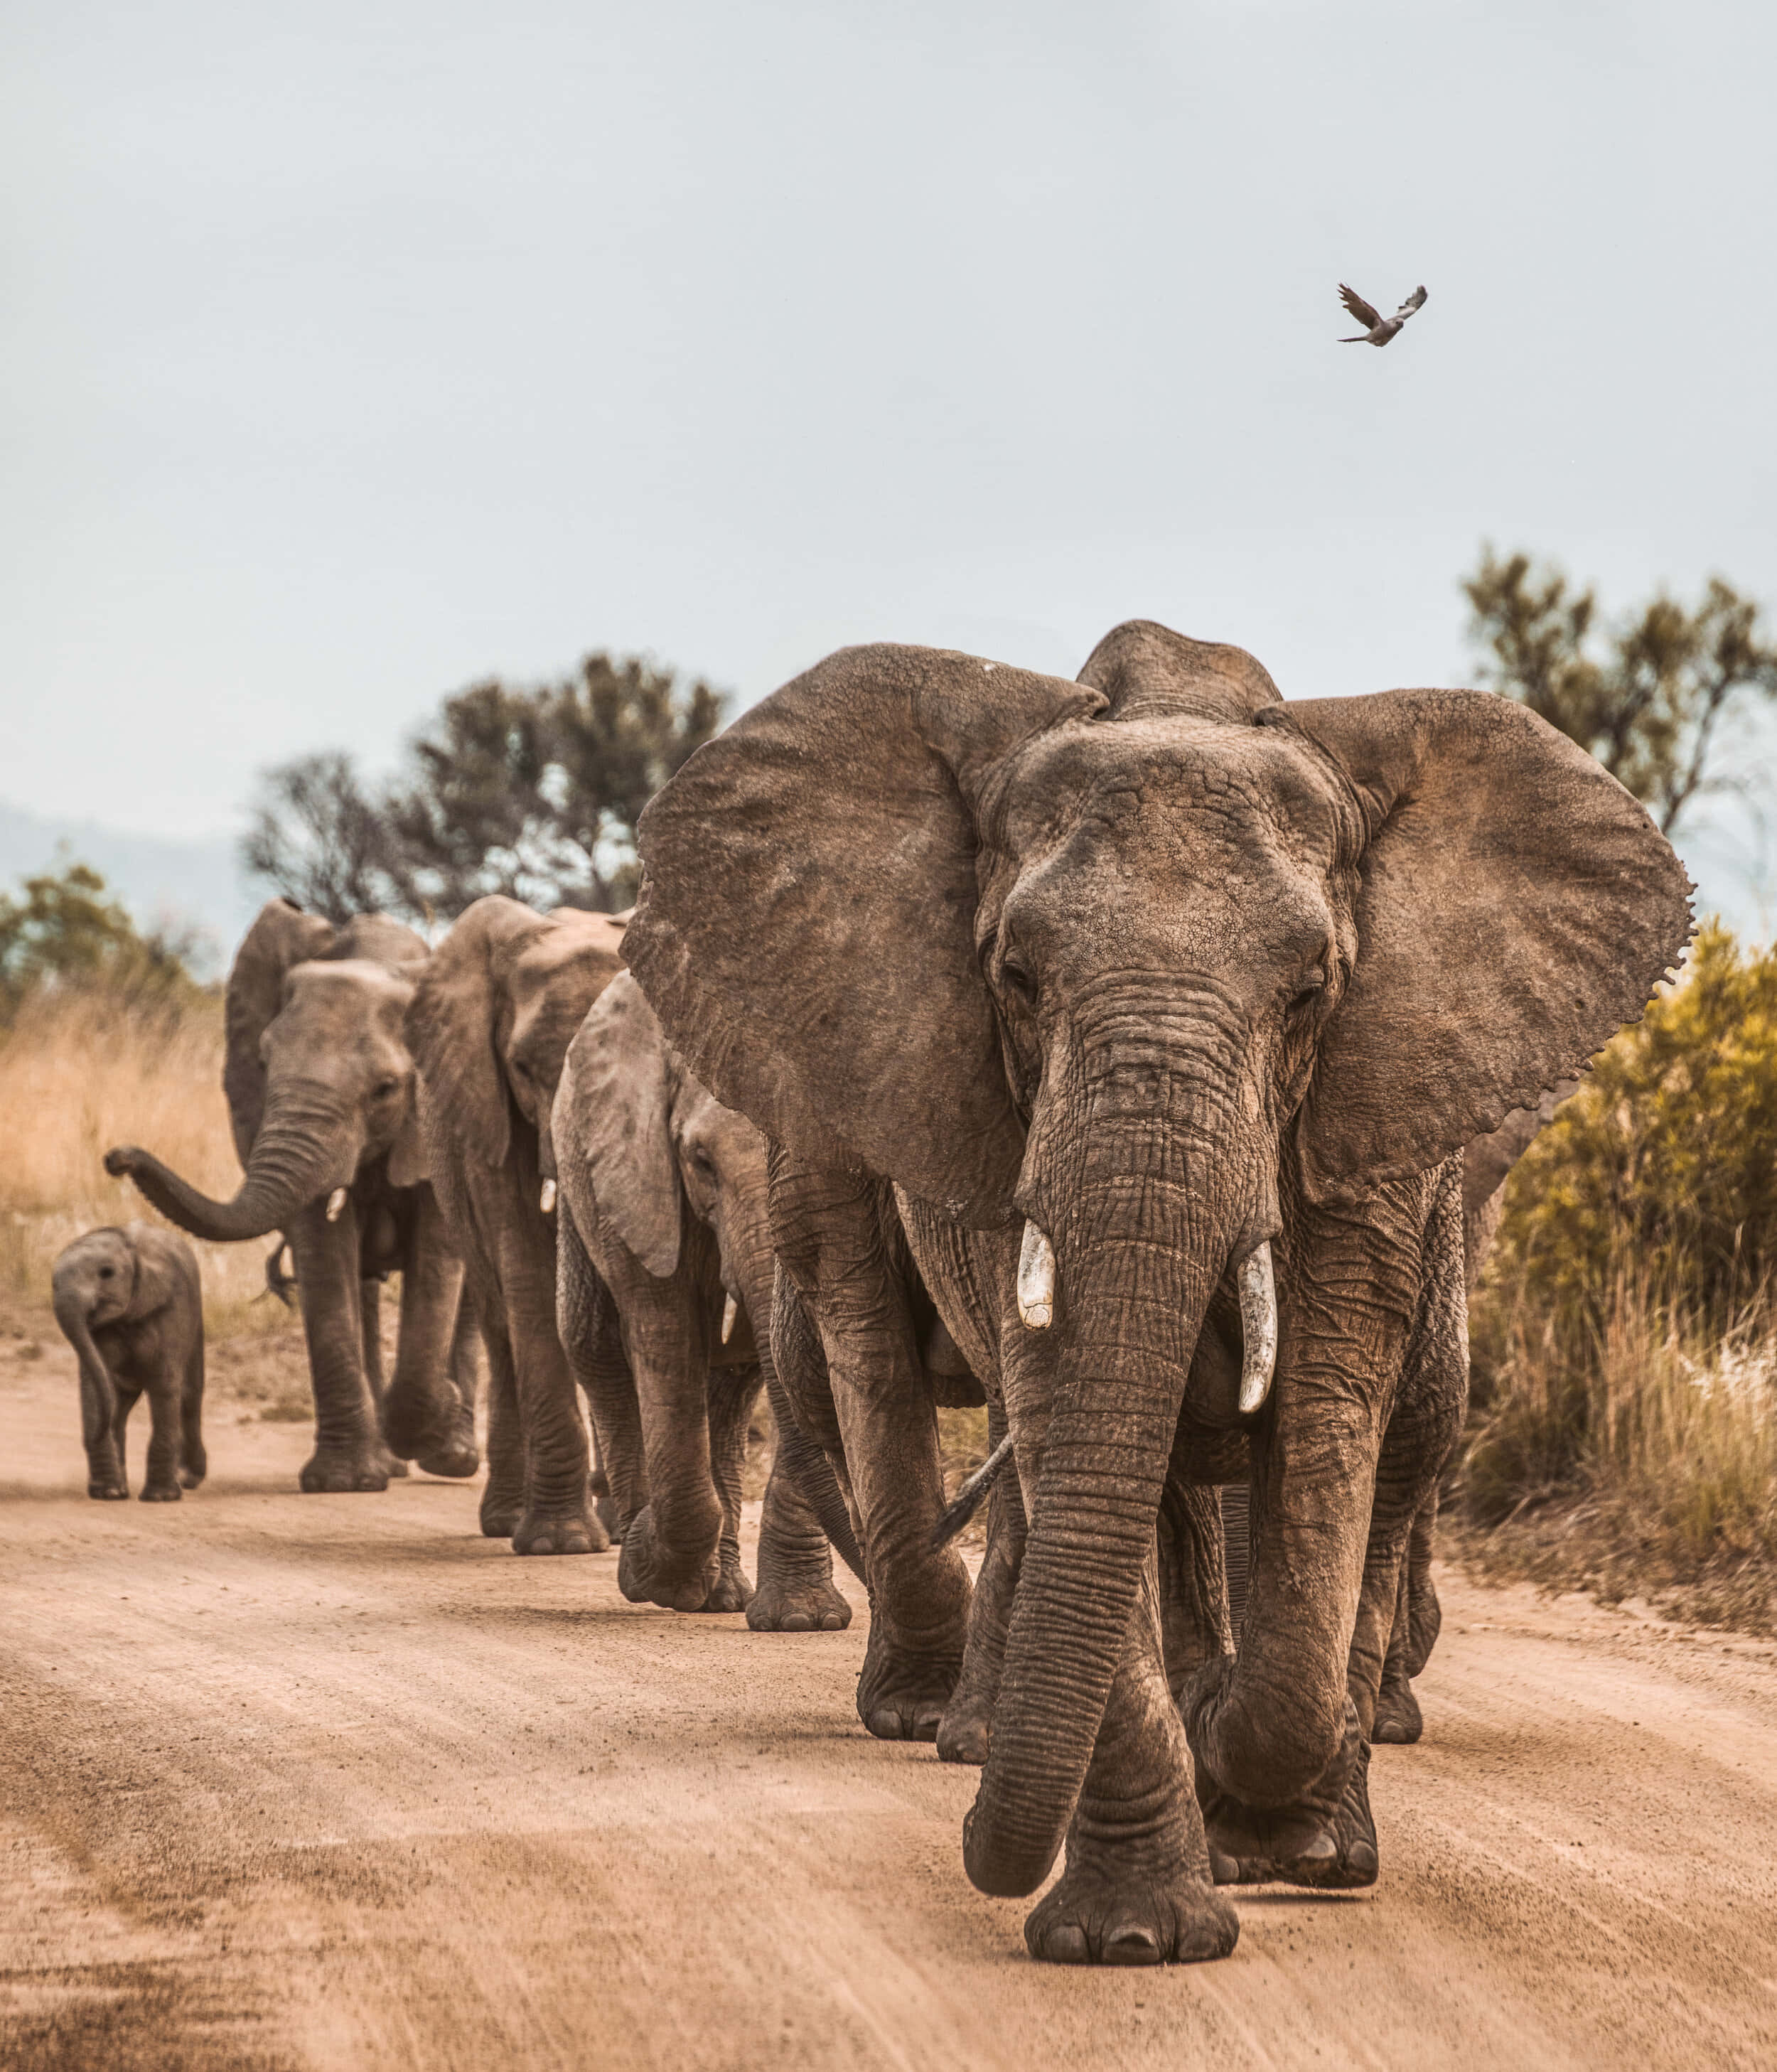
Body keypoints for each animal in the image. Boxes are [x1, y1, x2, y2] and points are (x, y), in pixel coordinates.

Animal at [52, 1222, 206, 1501]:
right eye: (52, 1284)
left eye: (107, 1273)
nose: (92, 1436)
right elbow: (95, 1384)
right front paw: (108, 1493)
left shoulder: (173, 1308)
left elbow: (164, 1383)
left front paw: (160, 1498)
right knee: (120, 1406)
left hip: (196, 1321)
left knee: (190, 1396)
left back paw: (188, 1479)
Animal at [106, 900, 477, 1494]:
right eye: (262, 1064)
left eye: (386, 1089)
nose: (117, 1156)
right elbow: (323, 1255)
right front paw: (345, 1482)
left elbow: (439, 1258)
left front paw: (435, 1412)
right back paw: (392, 1460)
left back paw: (454, 1456)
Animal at [404, 894, 631, 1553]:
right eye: (525, 1068)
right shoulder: (488, 1108)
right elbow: (527, 1267)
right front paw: (562, 1543)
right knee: (501, 1321)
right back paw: (509, 1520)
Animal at [551, 969, 862, 1620]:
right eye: (700, 1161)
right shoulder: (640, 1174)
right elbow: (664, 1336)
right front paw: (653, 1572)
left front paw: (804, 1620)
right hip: (579, 1179)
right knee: (595, 1347)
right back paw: (646, 1559)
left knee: (732, 1390)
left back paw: (720, 1594)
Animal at [622, 621, 1690, 1964]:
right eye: (1016, 978)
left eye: (1311, 992)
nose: (972, 1841)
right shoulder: (1000, 1135)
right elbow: (1068, 1422)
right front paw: (1135, 1937)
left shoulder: (1370, 1125)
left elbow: (1327, 1429)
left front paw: (1274, 1818)